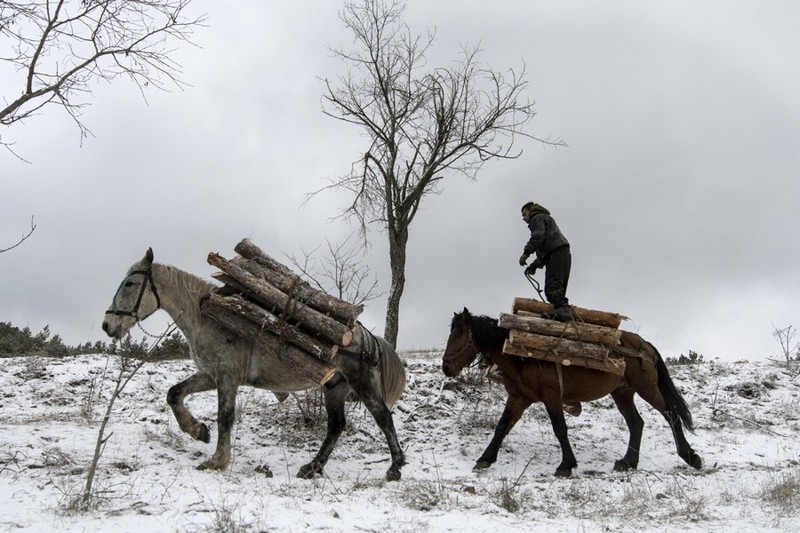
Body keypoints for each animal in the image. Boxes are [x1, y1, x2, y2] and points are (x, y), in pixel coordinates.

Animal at [101, 247, 406, 480]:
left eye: (129, 284)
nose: (107, 325)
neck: (208, 320)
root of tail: (365, 336)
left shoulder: (226, 377)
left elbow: (225, 417)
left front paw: (217, 460)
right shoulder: (209, 375)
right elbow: (174, 393)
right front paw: (198, 431)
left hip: (361, 383)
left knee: (383, 418)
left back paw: (394, 468)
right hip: (334, 387)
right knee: (336, 427)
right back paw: (312, 468)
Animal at [440, 306, 704, 476]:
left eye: (458, 334)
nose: (446, 367)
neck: (522, 357)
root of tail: (644, 345)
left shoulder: (551, 397)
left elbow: (560, 429)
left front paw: (566, 465)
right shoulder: (519, 398)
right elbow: (502, 427)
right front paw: (484, 459)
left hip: (646, 387)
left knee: (670, 414)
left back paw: (691, 457)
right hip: (622, 392)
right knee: (636, 423)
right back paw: (627, 462)